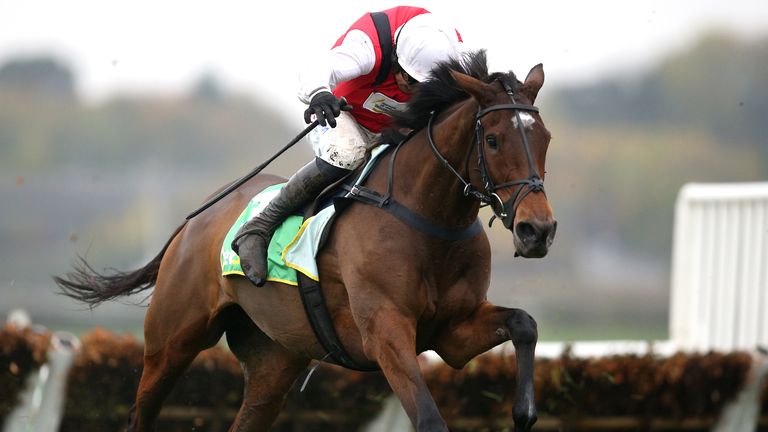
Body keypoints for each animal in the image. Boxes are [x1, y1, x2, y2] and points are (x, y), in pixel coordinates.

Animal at [57, 51, 556, 432]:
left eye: (546, 139)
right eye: (493, 140)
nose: (538, 230)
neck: (429, 220)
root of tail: (193, 221)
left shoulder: (451, 333)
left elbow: (525, 323)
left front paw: (524, 411)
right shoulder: (385, 333)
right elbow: (430, 419)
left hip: (274, 360)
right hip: (170, 343)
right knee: (141, 412)